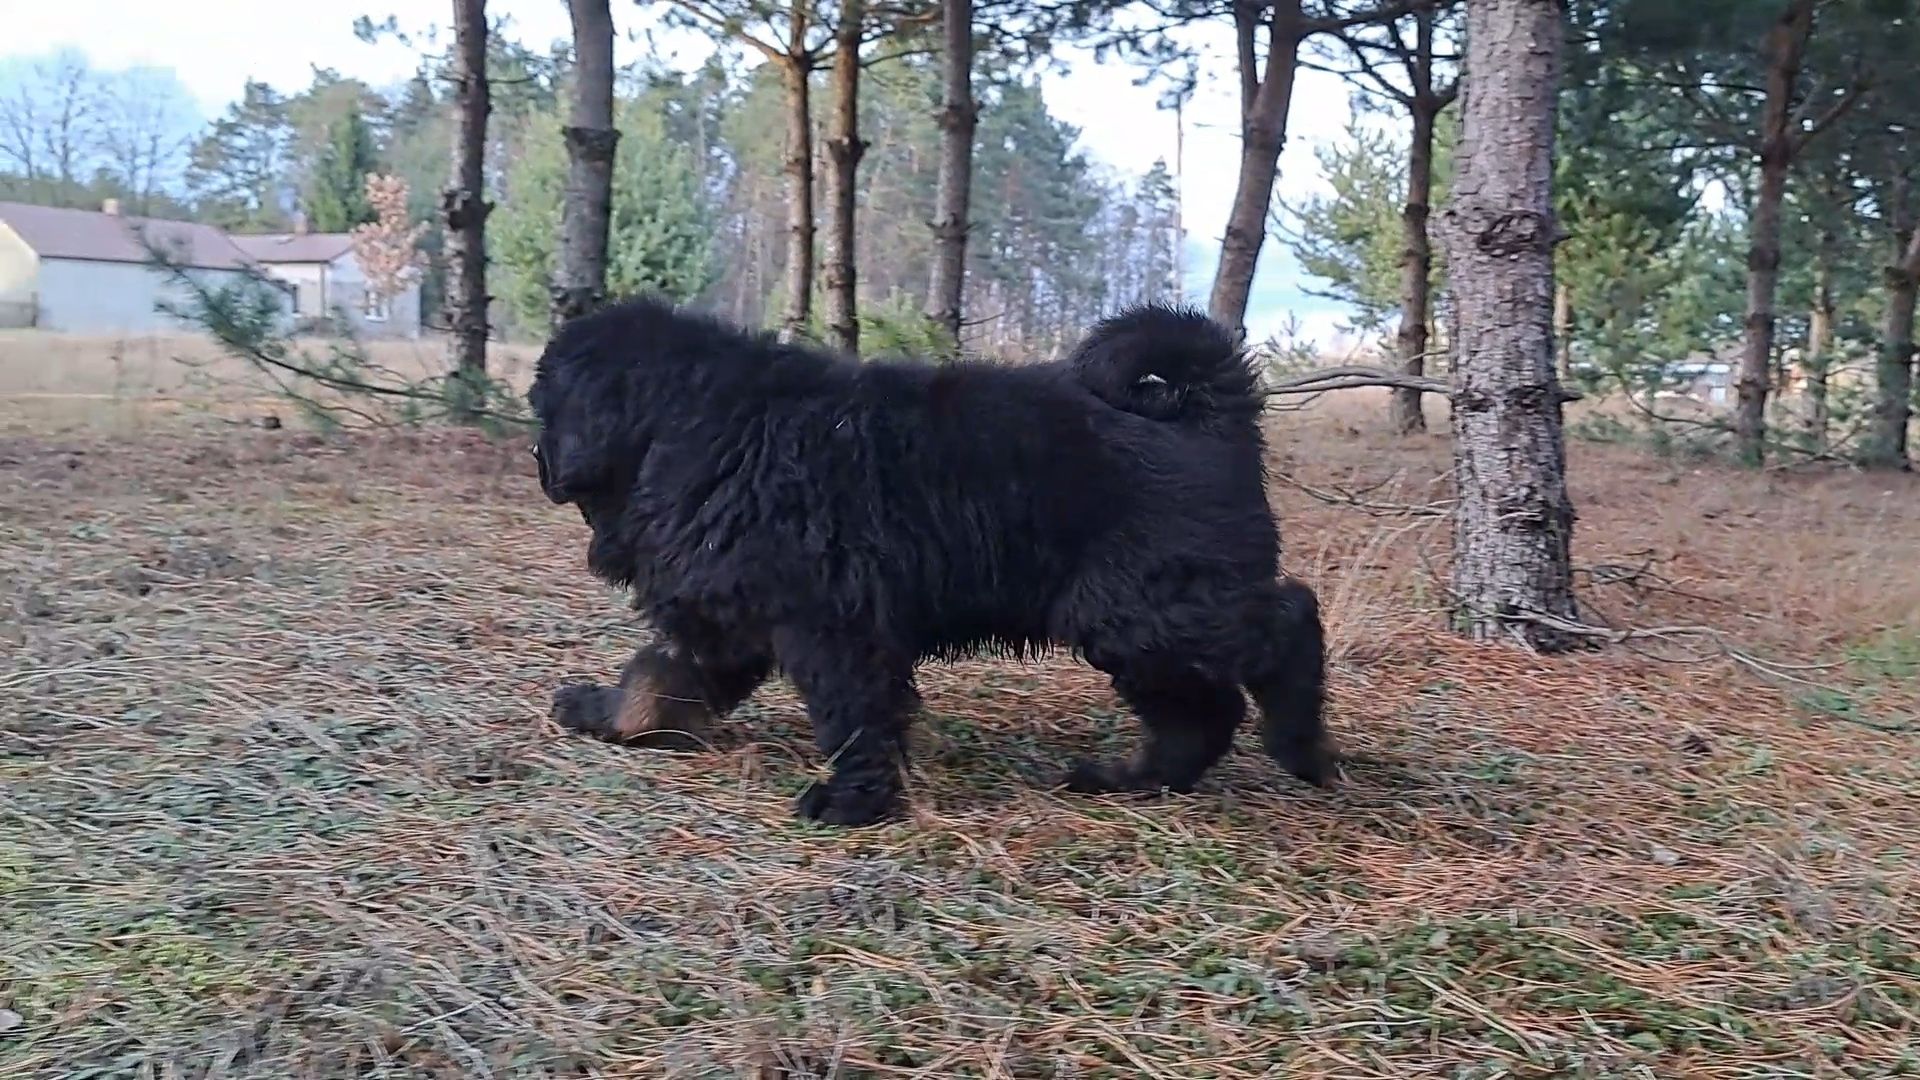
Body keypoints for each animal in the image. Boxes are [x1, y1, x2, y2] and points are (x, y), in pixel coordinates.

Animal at [533, 295, 1328, 822]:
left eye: (544, 407)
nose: (540, 460)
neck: (691, 424)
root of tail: (1210, 411)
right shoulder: (724, 625)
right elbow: (653, 681)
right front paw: (603, 714)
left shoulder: (832, 630)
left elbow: (853, 716)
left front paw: (852, 801)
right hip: (1134, 625)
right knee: (1200, 711)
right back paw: (1130, 779)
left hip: (1142, 607)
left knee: (1287, 621)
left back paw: (1301, 745)